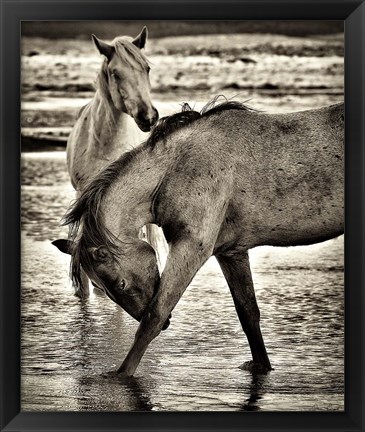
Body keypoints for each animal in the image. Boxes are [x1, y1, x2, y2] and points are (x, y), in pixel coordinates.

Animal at [52, 99, 342, 376]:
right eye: (99, 287)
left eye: (120, 284)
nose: (169, 325)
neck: (176, 169)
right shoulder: (231, 252)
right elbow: (248, 314)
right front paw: (261, 366)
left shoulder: (192, 248)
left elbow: (153, 317)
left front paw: (122, 374)